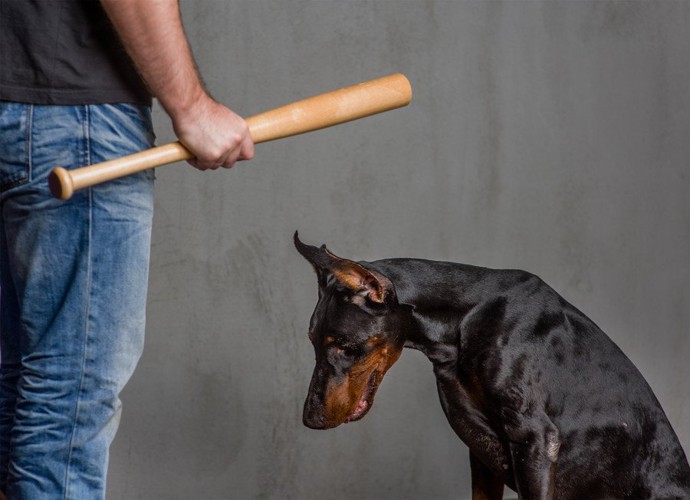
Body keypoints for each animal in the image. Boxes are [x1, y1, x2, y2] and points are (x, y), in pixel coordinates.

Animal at [292, 234, 688, 500]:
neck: (463, 322)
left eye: (345, 346)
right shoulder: (481, 454)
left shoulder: (535, 441)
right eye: (311, 341)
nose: (310, 419)